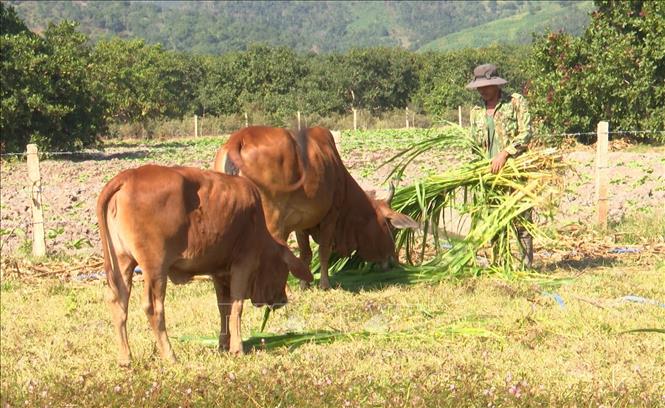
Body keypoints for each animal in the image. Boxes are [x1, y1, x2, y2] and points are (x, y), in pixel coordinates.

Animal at [95, 164, 312, 364]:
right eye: (284, 271)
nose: (282, 300)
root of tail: (129, 175)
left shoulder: (219, 272)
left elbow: (224, 308)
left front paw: (224, 344)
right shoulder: (243, 263)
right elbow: (237, 306)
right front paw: (238, 348)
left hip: (123, 262)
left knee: (118, 302)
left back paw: (125, 358)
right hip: (155, 268)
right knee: (153, 307)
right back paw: (170, 355)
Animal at [215, 126, 418, 288]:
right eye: (390, 226)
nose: (393, 261)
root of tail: (240, 138)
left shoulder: (301, 222)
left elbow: (305, 254)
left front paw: (304, 284)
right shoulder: (330, 216)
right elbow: (323, 251)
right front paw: (325, 285)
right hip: (270, 219)